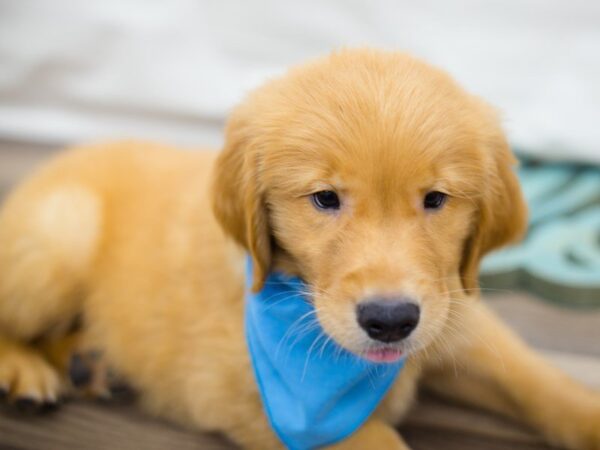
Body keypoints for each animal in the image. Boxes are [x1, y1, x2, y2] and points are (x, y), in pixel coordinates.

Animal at [0, 47, 596, 448]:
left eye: (435, 199)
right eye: (325, 198)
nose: (390, 321)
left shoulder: (456, 311)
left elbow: (539, 379)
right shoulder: (242, 394)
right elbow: (379, 439)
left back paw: (91, 363)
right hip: (60, 239)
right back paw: (28, 372)